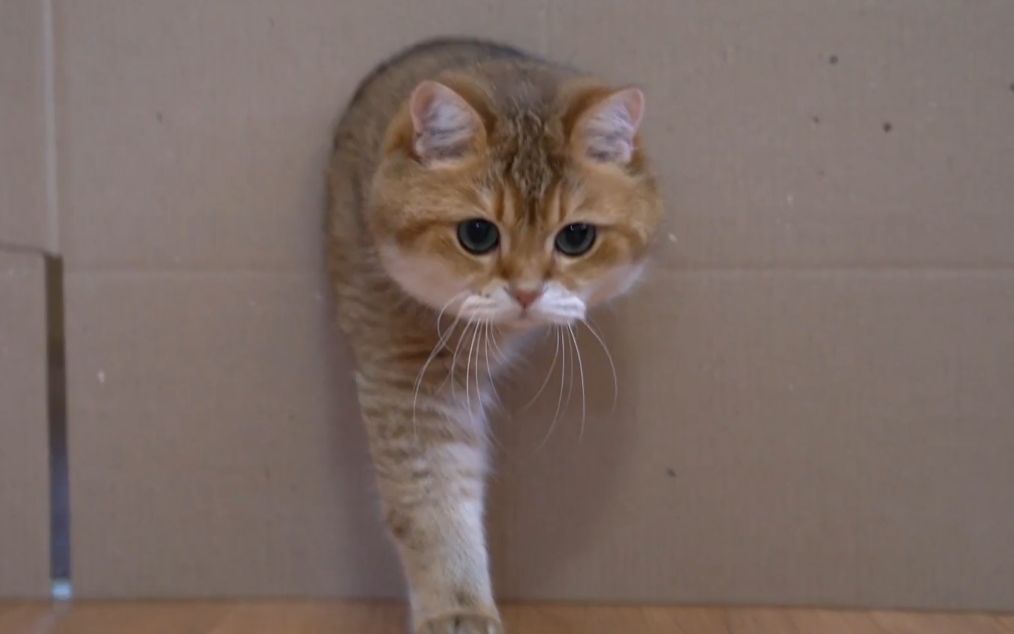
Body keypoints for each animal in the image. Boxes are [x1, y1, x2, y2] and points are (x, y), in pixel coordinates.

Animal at [328, 38, 663, 634]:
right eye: (477, 234)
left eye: (576, 237)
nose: (527, 292)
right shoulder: (408, 375)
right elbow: (433, 500)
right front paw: (457, 607)